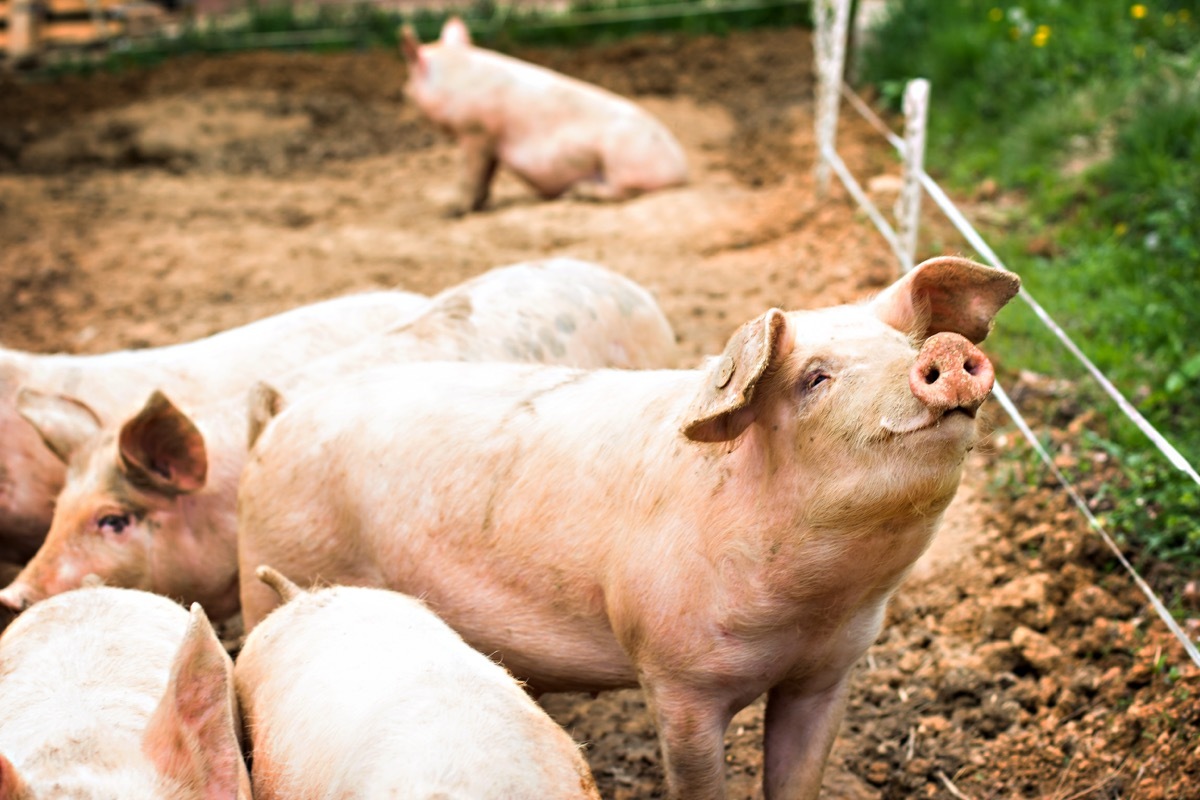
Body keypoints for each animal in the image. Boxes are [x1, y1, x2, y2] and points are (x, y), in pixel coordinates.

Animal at [401, 17, 688, 214]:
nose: (403, 91)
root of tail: (682, 172)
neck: (454, 79)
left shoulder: (475, 130)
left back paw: (576, 194)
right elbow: (486, 176)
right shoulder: (491, 140)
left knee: (625, 192)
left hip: (622, 159)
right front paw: (481, 205)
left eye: (409, 79)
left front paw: (452, 212)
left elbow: (469, 174)